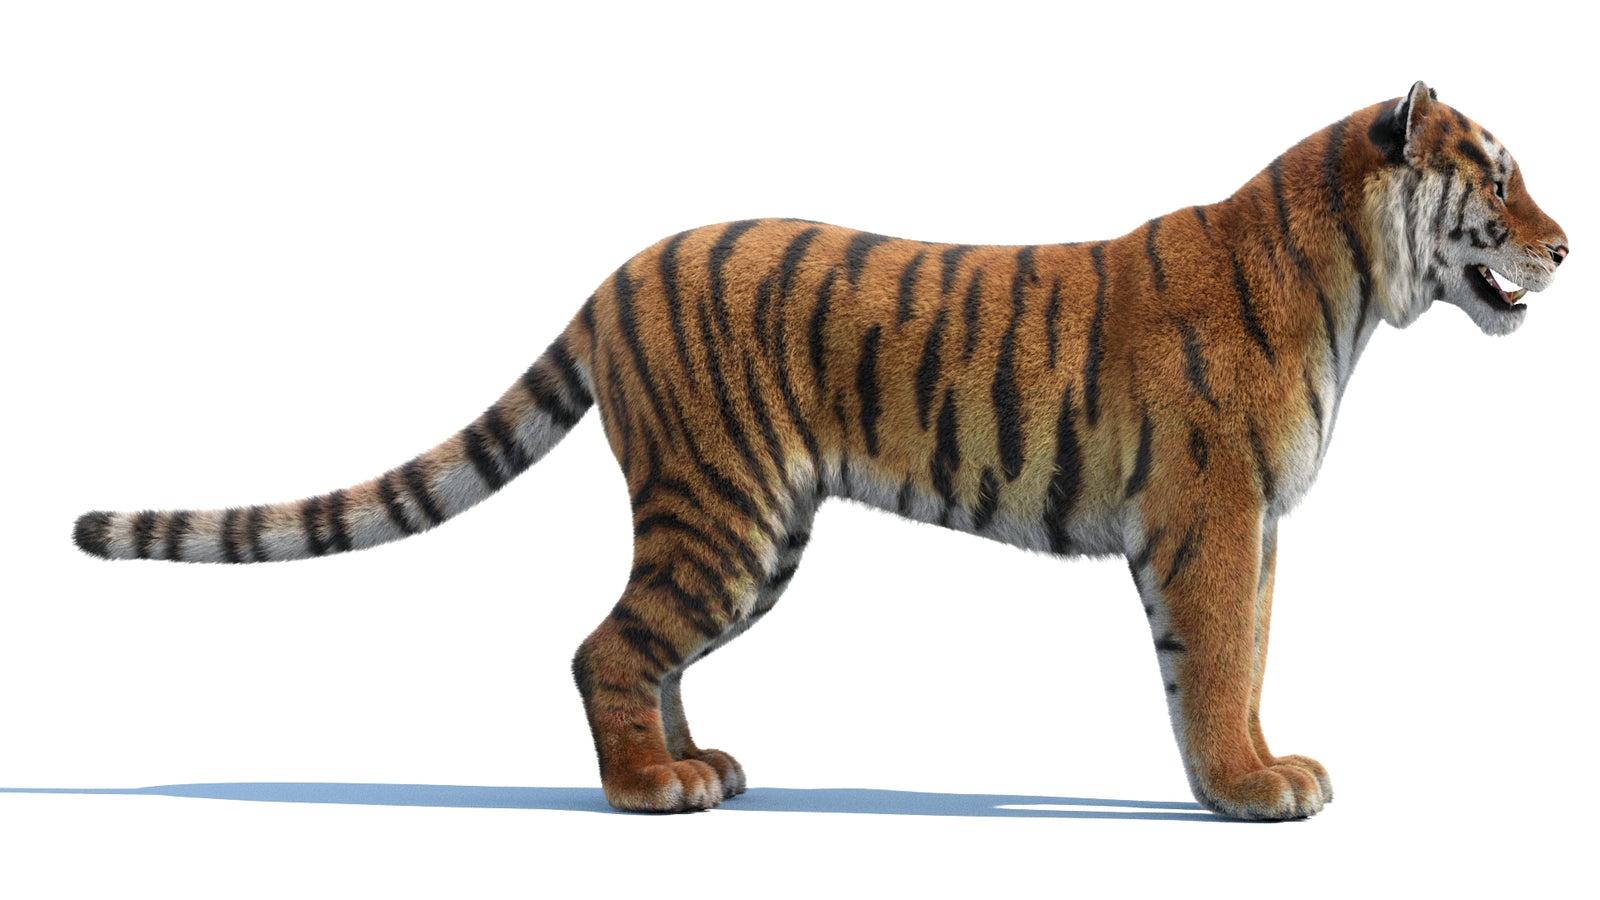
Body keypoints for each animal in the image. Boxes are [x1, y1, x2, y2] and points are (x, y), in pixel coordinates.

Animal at [72, 82, 1567, 820]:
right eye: (1496, 177)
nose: (1564, 243)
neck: (1352, 282)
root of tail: (612, 277)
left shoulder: (1245, 528)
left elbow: (1236, 661)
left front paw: (1251, 773)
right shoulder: (1215, 516)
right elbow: (1219, 664)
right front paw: (1252, 791)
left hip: (752, 526)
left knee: (645, 650)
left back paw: (703, 764)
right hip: (724, 514)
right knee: (602, 647)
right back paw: (651, 793)